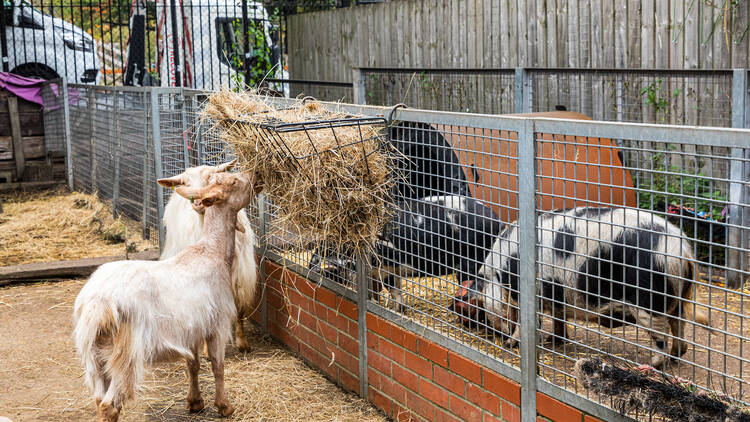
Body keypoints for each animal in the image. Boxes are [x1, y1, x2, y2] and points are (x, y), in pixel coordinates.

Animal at [159, 161, 258, 350]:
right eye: (186, 182)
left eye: (210, 178)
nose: (198, 203)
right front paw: (205, 347)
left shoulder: (241, 276)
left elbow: (240, 308)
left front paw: (242, 342)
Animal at [470, 209, 712, 368]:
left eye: (480, 303)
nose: (487, 329)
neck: (500, 267)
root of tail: (684, 251)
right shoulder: (555, 293)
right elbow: (558, 316)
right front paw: (554, 340)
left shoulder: (530, 293)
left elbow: (525, 321)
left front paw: (510, 343)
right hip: (676, 297)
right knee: (679, 322)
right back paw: (675, 356)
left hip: (649, 299)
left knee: (661, 332)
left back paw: (653, 363)